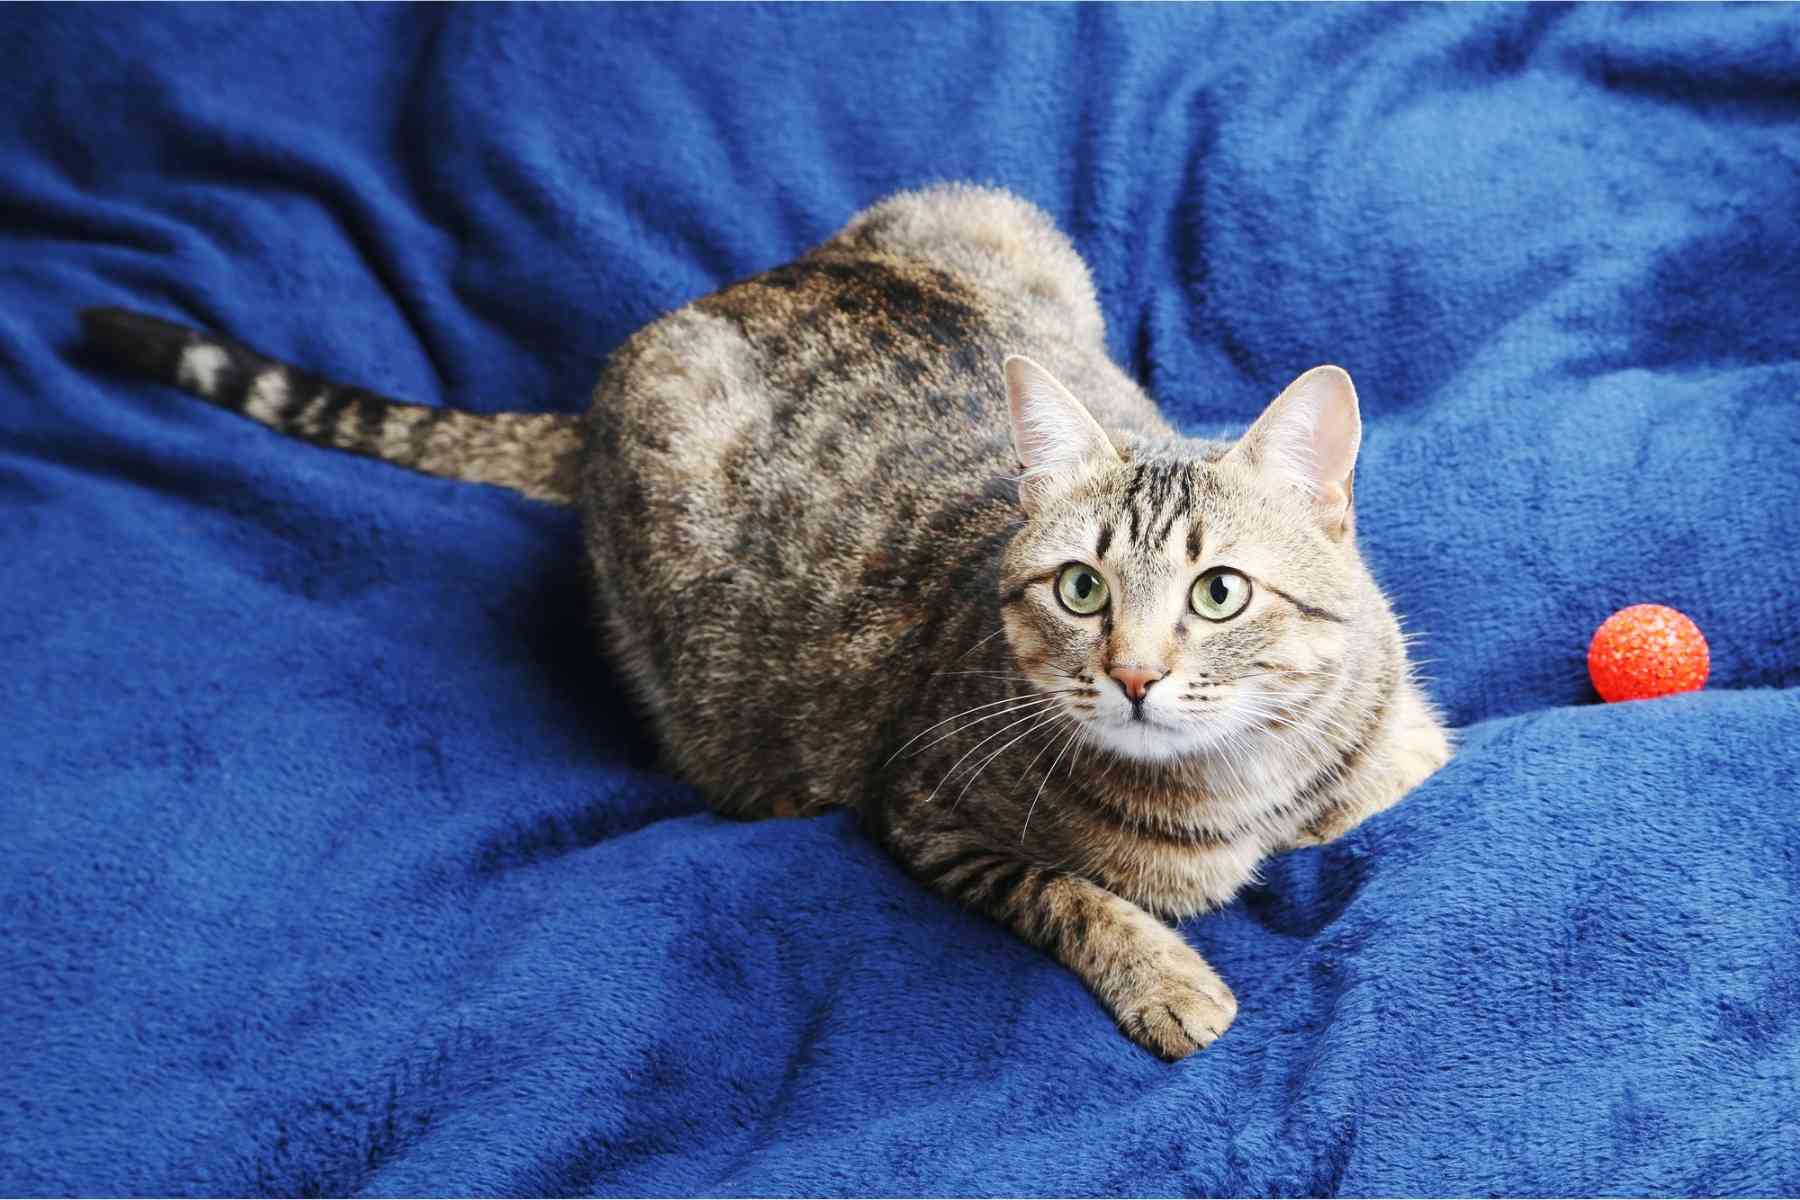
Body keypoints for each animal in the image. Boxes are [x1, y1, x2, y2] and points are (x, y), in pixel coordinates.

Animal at [87, 185, 1447, 1057]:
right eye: (1082, 590)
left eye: (1218, 594)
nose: (1133, 675)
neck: (1238, 788)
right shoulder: (922, 806)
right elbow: (1071, 893)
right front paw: (1169, 979)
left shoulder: (1404, 738)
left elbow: (1403, 773)